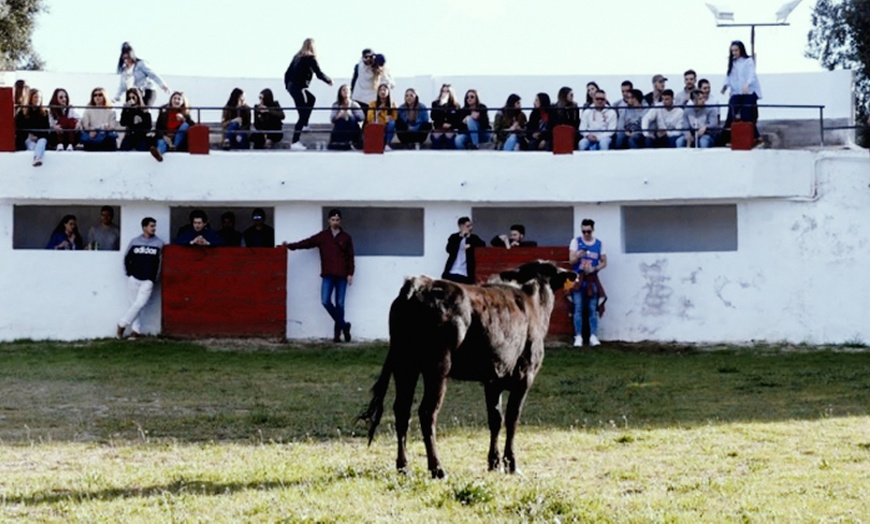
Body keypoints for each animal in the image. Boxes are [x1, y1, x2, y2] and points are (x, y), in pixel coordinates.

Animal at [358, 260, 576, 476]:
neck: (533, 301)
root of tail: (419, 285)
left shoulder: (493, 379)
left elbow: (496, 418)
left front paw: (494, 463)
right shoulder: (525, 376)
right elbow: (512, 418)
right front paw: (512, 464)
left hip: (405, 364)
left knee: (402, 410)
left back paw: (404, 467)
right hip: (437, 369)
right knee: (427, 412)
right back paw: (437, 468)